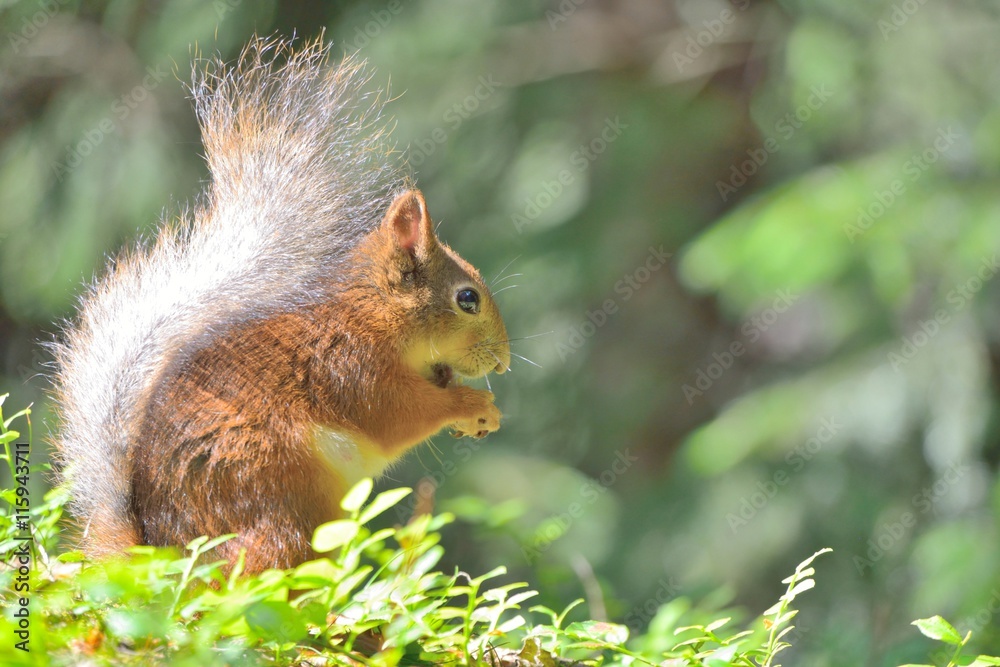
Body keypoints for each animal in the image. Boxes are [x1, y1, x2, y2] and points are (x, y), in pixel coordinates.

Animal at [50, 37, 511, 574]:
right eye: (467, 299)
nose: (502, 363)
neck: (374, 315)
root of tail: (167, 560)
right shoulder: (349, 365)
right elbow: (396, 414)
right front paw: (471, 404)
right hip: (275, 493)